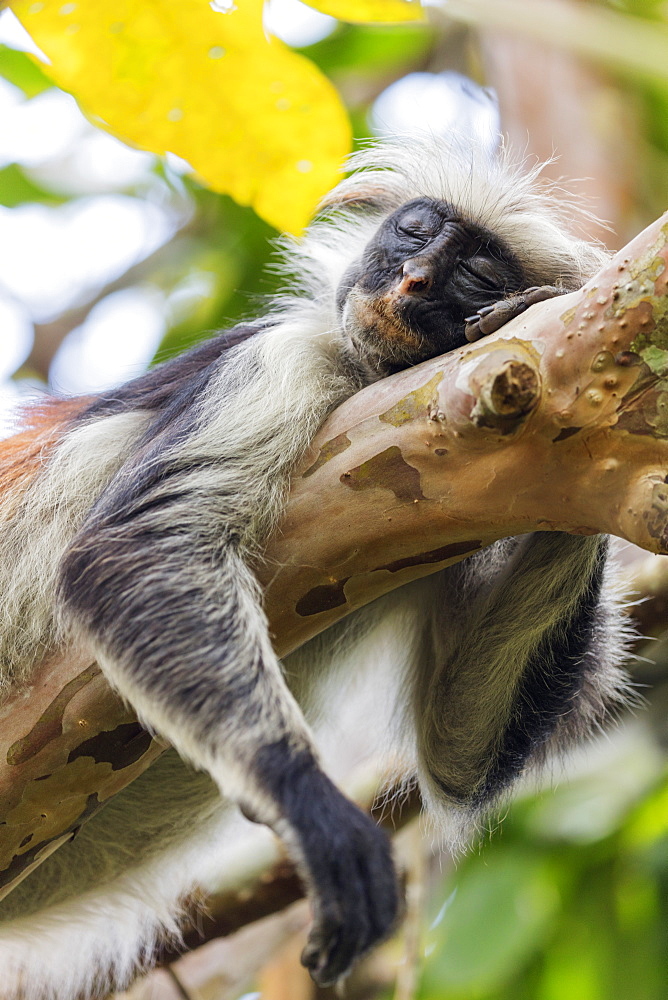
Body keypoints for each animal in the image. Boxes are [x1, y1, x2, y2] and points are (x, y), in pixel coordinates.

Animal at [0, 137, 632, 996]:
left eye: (475, 272)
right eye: (413, 231)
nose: (414, 278)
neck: (366, 376)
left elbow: (458, 755)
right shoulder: (285, 356)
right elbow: (136, 546)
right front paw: (310, 805)